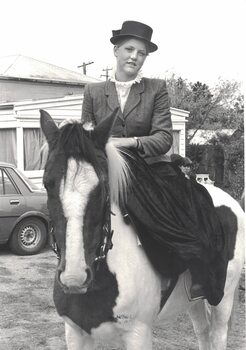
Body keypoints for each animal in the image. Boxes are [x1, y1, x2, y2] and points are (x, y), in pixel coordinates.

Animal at [40, 110, 244, 350]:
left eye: (103, 187)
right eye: (47, 184)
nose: (74, 278)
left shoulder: (138, 334)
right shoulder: (75, 333)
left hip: (224, 297)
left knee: (217, 335)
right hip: (195, 300)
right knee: (202, 333)